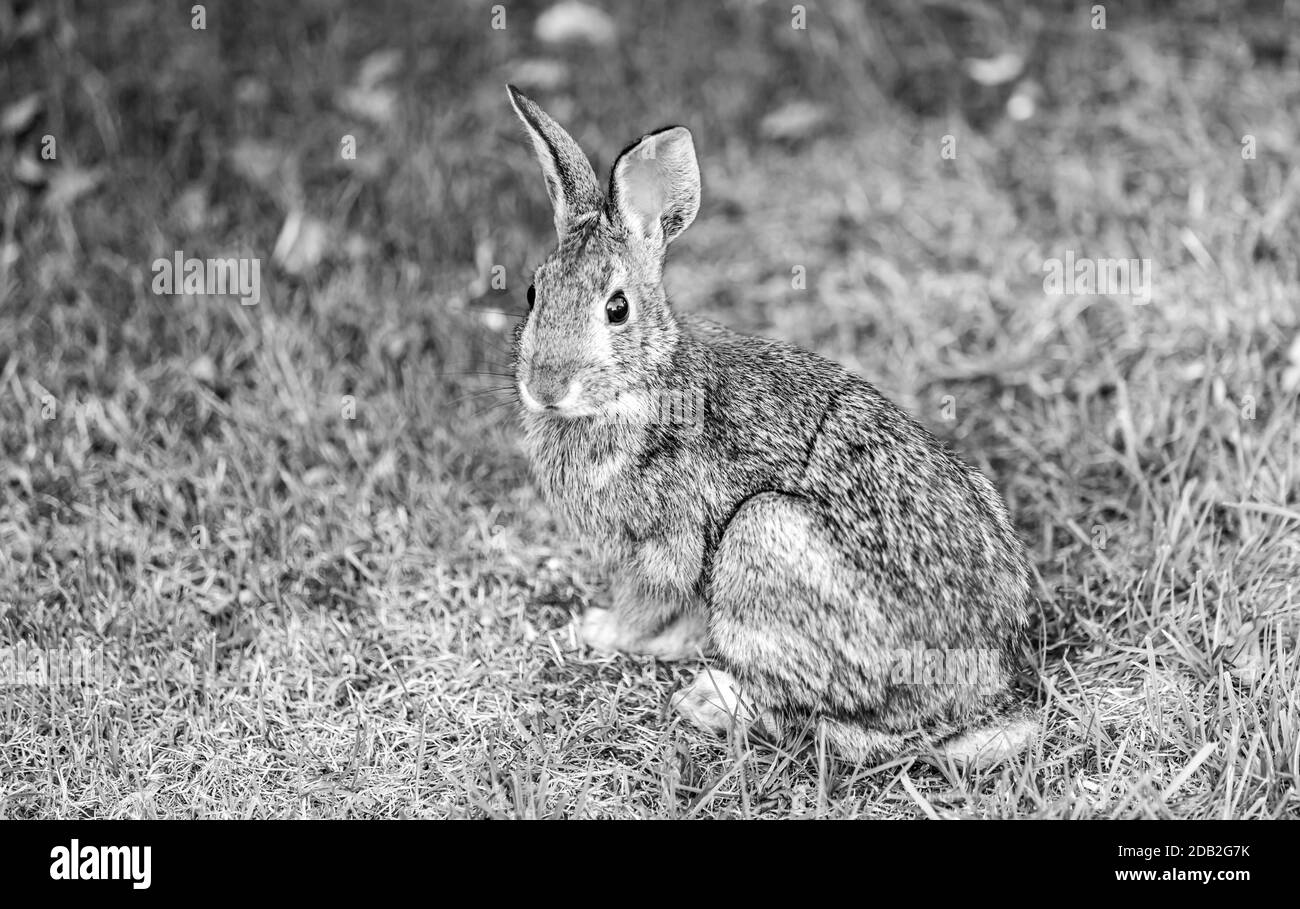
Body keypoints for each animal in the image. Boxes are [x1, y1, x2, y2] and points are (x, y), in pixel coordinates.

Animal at [504, 83, 1034, 769]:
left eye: (616, 308)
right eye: (531, 293)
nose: (545, 388)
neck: (639, 385)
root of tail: (978, 693)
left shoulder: (663, 548)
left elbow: (645, 608)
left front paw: (598, 630)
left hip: (762, 541)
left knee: (844, 730)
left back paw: (711, 701)